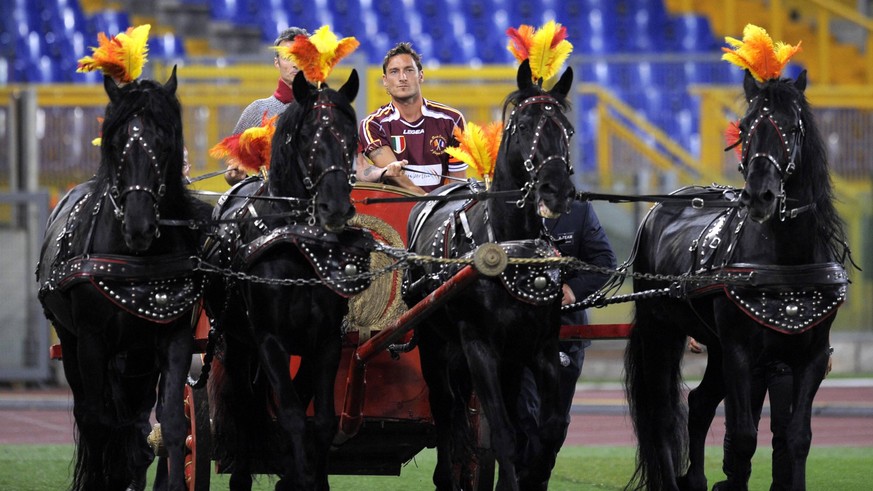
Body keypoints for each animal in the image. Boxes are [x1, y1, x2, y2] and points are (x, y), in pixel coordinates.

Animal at [38, 70, 210, 491]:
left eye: (164, 142)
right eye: (116, 144)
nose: (139, 226)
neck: (135, 261)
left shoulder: (174, 336)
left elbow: (173, 423)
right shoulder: (91, 340)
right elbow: (99, 422)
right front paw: (106, 476)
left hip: (138, 356)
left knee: (133, 419)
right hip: (72, 343)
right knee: (92, 415)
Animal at [204, 70, 364, 491]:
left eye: (352, 137)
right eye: (307, 136)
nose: (336, 207)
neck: (295, 242)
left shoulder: (326, 340)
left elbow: (321, 420)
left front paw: (306, 476)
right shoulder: (269, 339)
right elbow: (291, 415)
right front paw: (300, 476)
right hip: (236, 343)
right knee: (244, 407)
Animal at [406, 60, 576, 491]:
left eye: (567, 130)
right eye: (524, 126)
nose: (556, 189)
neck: (510, 245)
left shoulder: (540, 346)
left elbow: (547, 430)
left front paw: (532, 476)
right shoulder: (479, 345)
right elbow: (501, 432)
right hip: (433, 341)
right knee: (445, 409)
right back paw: (446, 476)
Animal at [624, 69, 848, 491]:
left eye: (793, 127)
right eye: (744, 127)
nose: (760, 196)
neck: (786, 264)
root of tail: (666, 203)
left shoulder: (810, 355)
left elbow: (797, 437)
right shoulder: (741, 352)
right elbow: (743, 437)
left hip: (715, 345)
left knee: (698, 404)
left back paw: (694, 478)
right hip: (662, 332)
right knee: (662, 413)